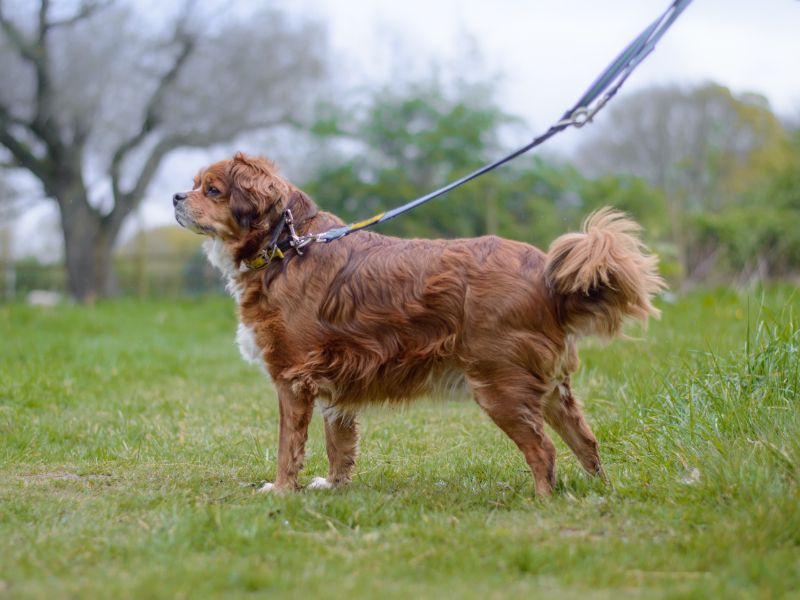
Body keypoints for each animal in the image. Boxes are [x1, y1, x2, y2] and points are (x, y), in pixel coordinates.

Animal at [177, 152, 668, 494]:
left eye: (212, 190)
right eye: (195, 185)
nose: (176, 197)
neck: (288, 245)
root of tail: (545, 272)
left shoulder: (293, 379)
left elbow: (288, 448)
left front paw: (281, 491)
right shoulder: (333, 381)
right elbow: (339, 443)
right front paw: (333, 486)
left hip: (501, 385)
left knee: (543, 449)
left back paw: (543, 502)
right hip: (548, 388)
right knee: (586, 443)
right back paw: (599, 495)